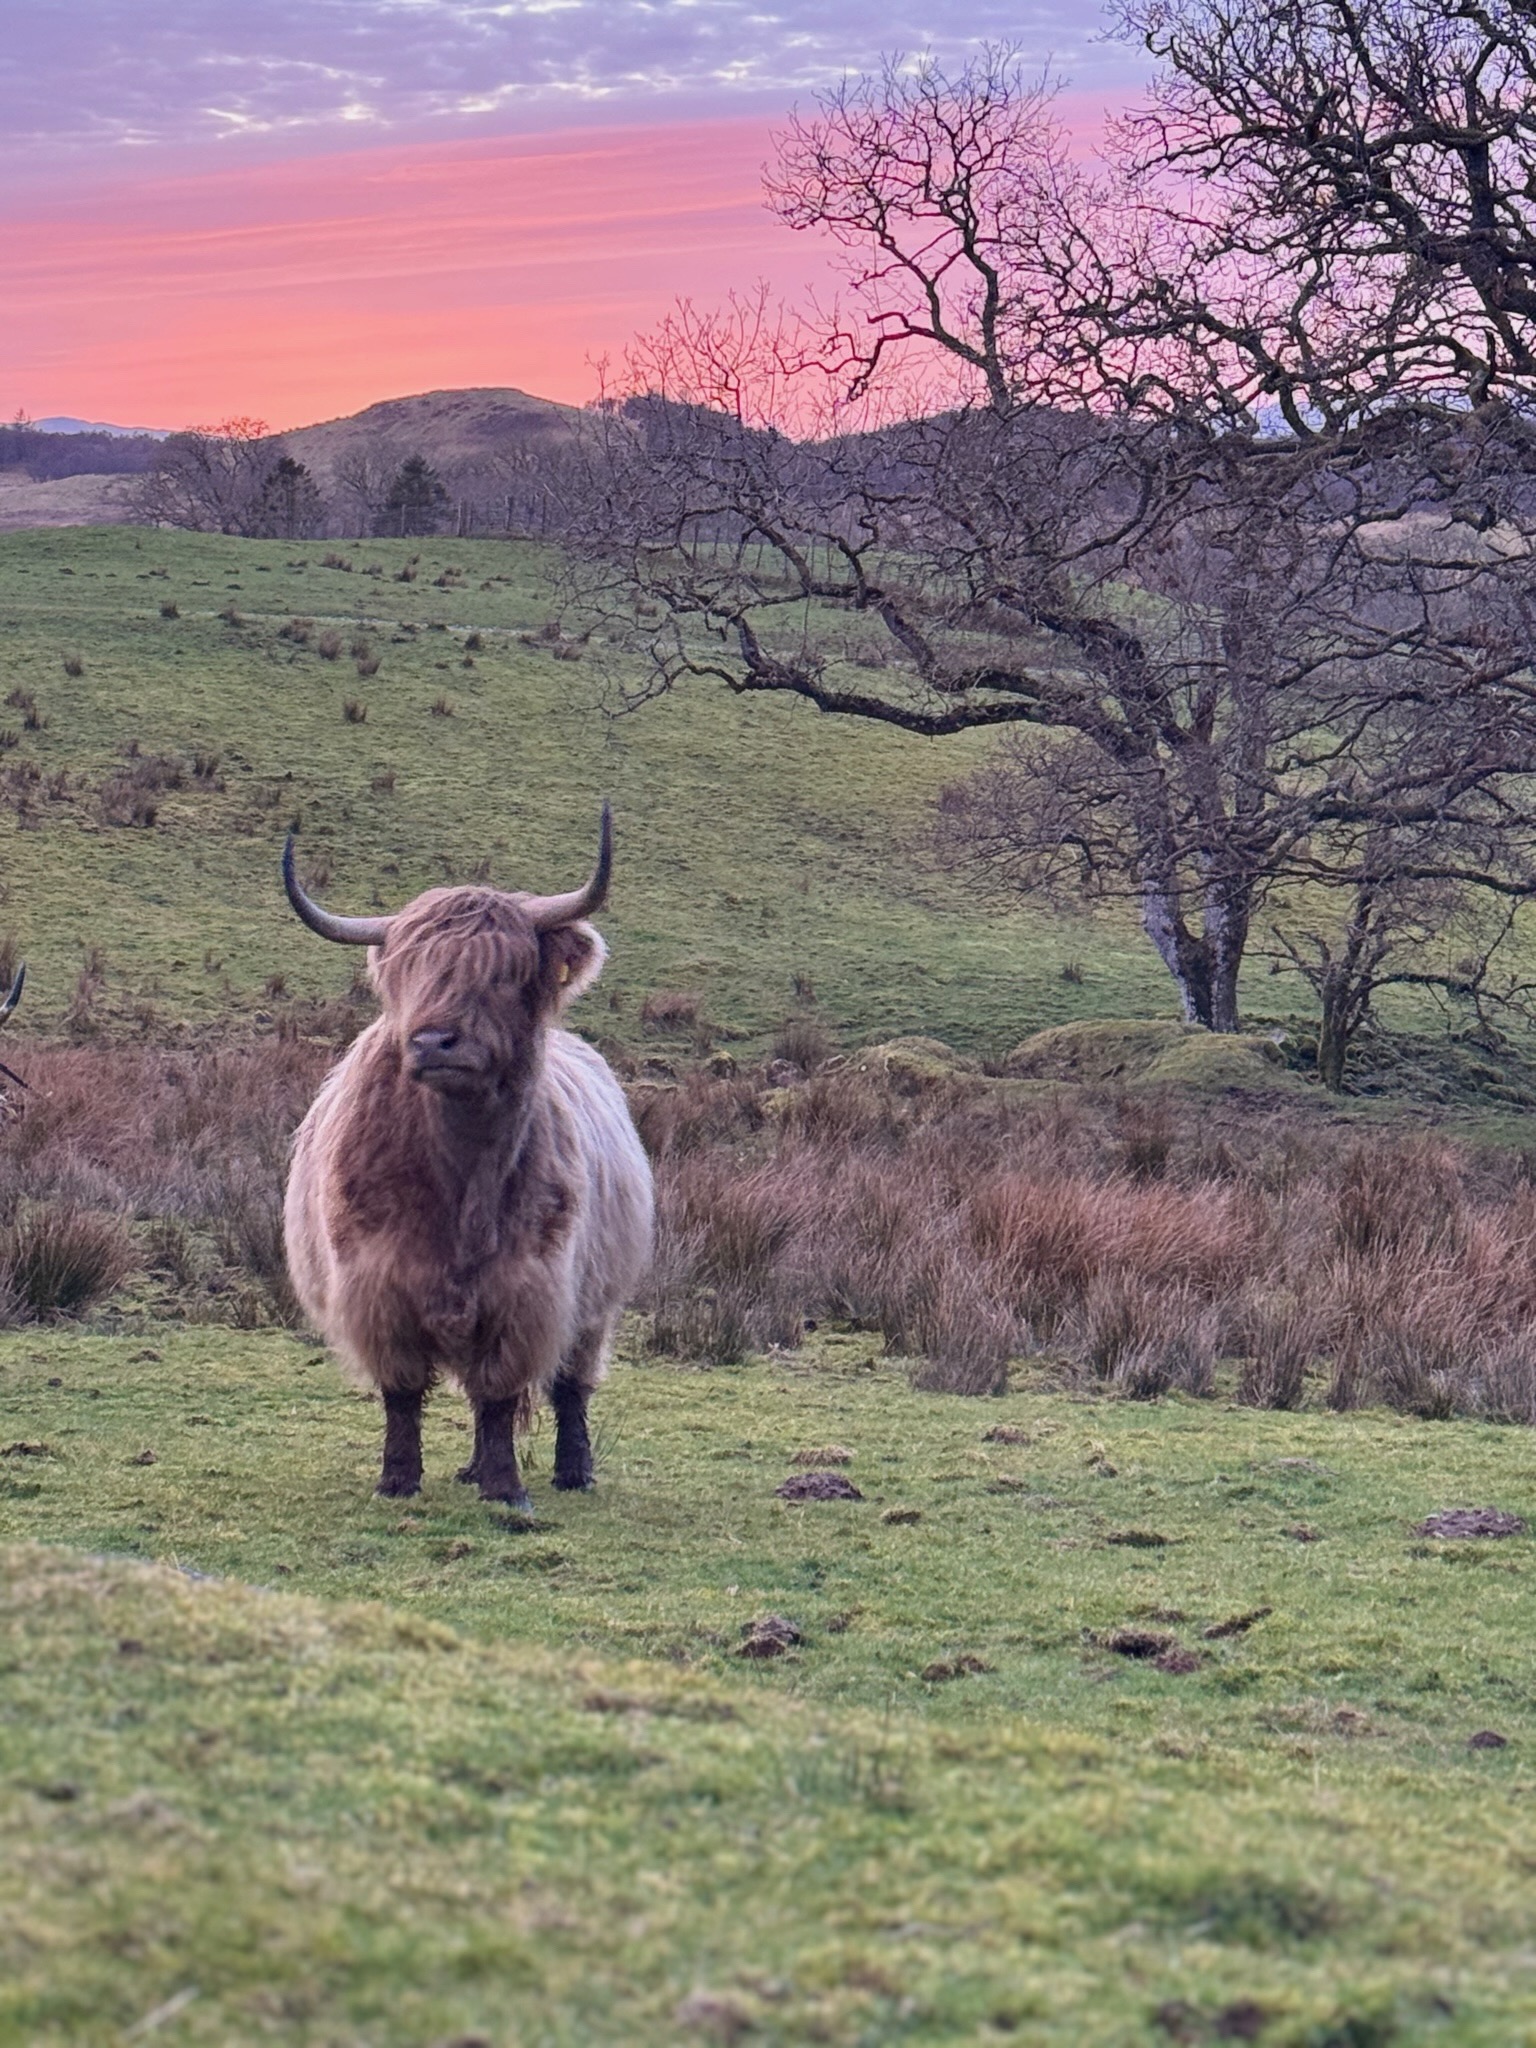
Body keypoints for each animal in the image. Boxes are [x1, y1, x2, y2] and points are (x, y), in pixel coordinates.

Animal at [281, 807, 653, 1510]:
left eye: (502, 971)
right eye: (406, 974)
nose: (432, 1041)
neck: (460, 1174)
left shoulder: (526, 1291)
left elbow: (500, 1394)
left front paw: (507, 1489)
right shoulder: (377, 1288)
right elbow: (403, 1394)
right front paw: (398, 1480)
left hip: (595, 1308)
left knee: (571, 1386)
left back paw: (572, 1470)